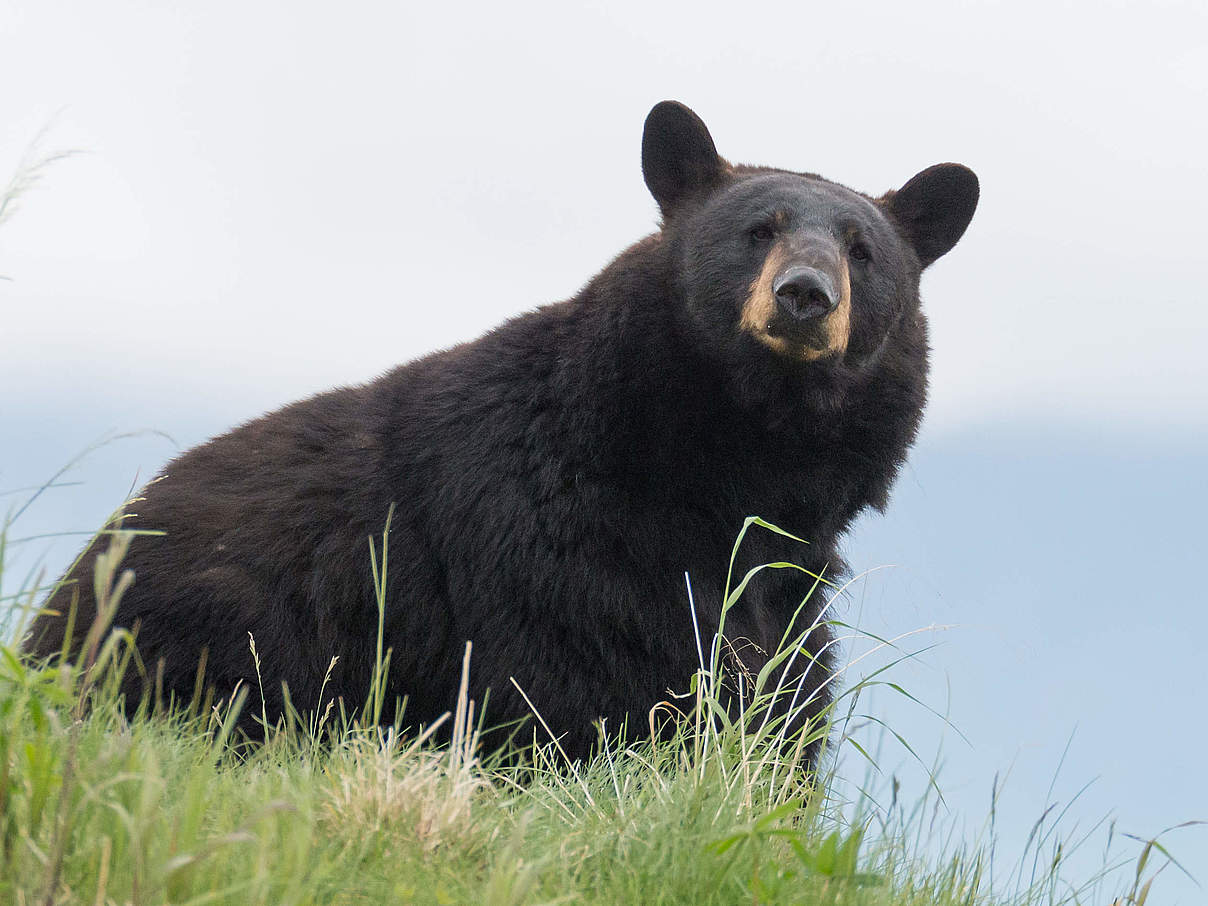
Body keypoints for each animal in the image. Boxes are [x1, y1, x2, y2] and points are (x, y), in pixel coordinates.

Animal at [23, 102, 976, 763]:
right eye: (757, 231)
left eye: (862, 251)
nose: (805, 294)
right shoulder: (553, 544)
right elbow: (593, 687)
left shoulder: (789, 591)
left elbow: (779, 708)